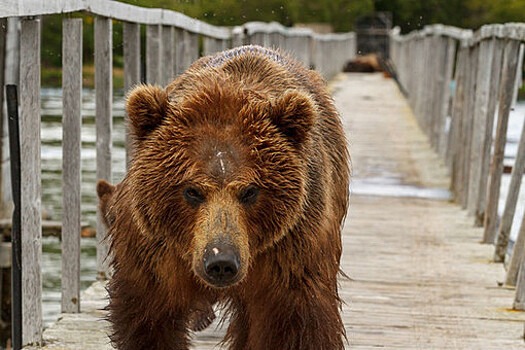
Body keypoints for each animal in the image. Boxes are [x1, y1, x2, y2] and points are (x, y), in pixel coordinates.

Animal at [100, 45, 350, 348]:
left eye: (250, 191)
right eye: (192, 191)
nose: (221, 262)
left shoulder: (293, 250)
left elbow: (295, 324)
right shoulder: (156, 252)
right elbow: (149, 319)